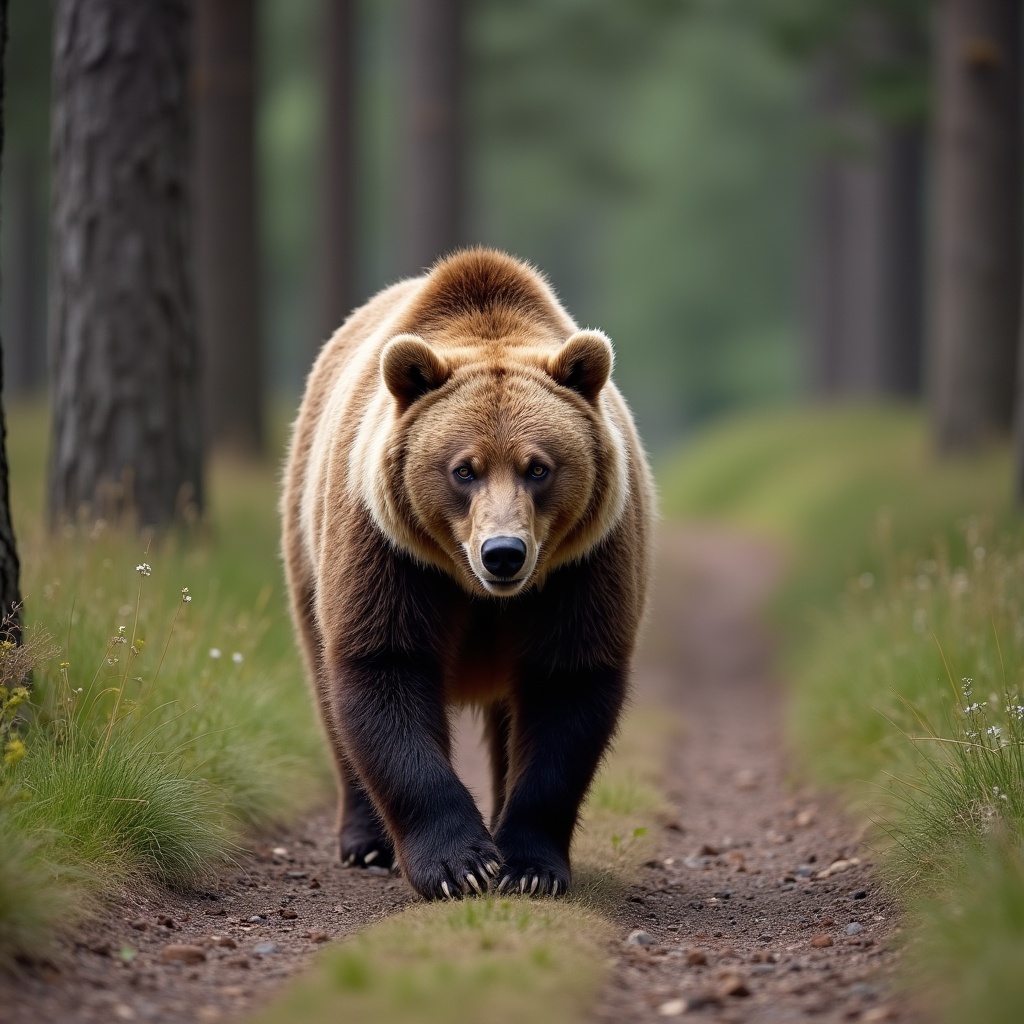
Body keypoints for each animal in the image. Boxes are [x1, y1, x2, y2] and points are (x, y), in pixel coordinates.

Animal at [281, 248, 654, 900]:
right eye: (464, 469)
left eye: (538, 468)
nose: (503, 552)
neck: (482, 594)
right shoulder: (389, 550)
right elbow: (384, 666)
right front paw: (462, 864)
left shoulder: (584, 564)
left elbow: (568, 687)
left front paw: (528, 865)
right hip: (307, 542)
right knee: (328, 688)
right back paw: (366, 841)